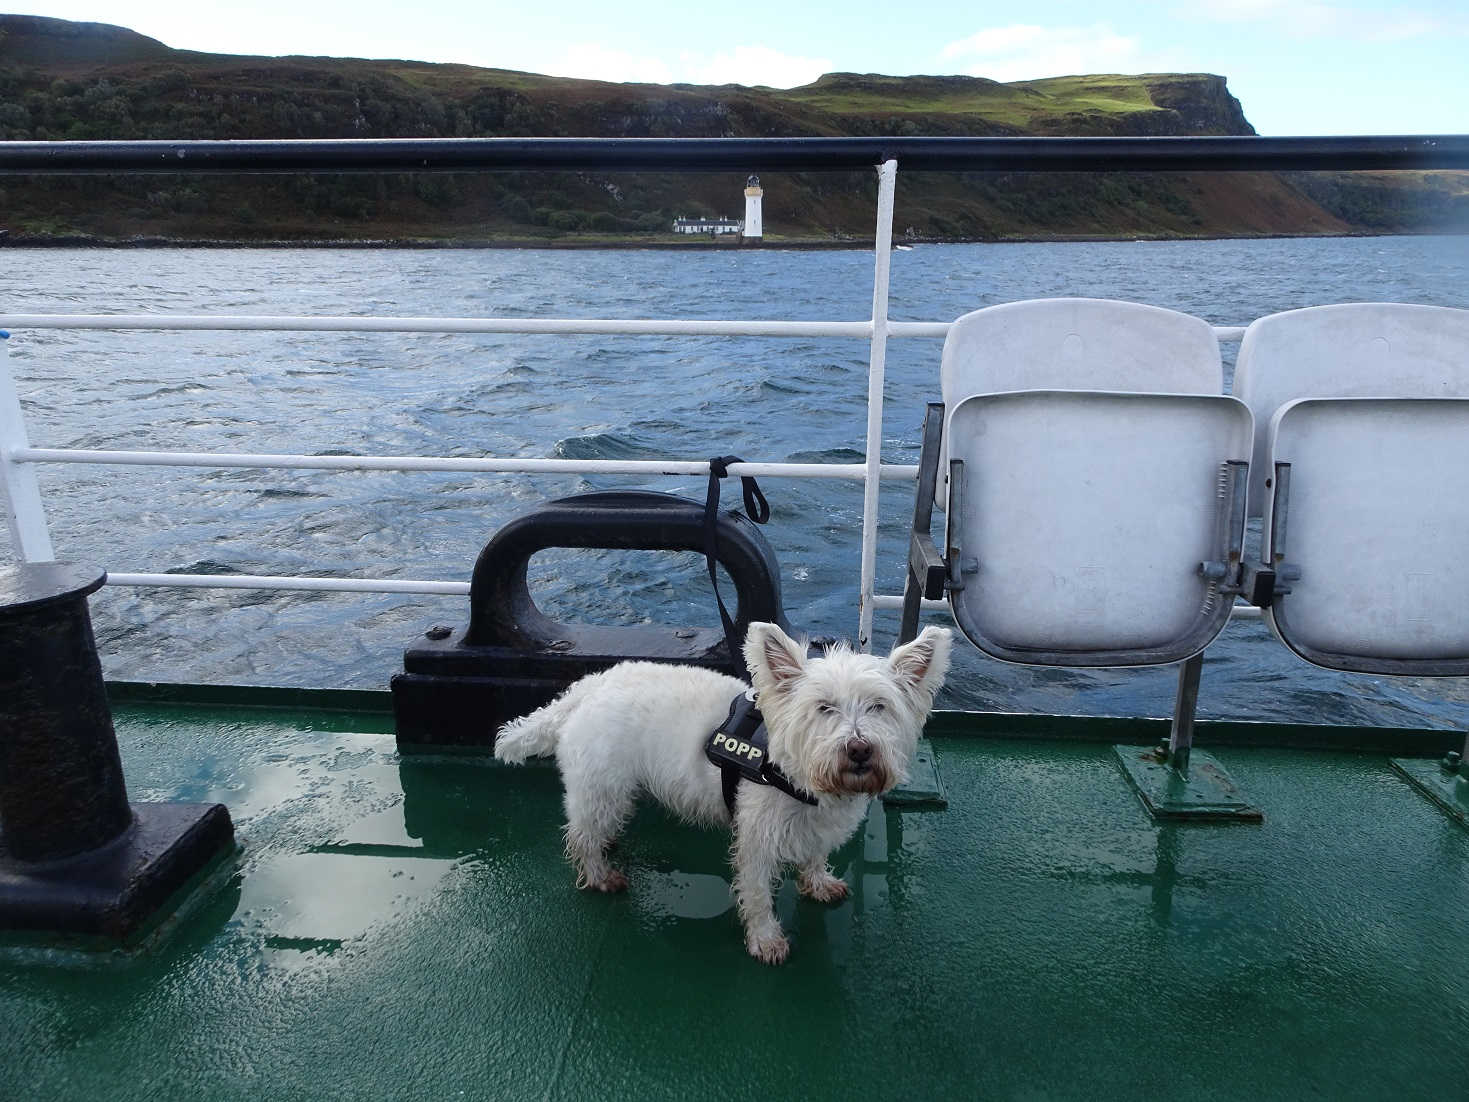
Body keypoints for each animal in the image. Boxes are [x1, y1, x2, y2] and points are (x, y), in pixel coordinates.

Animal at [493, 622, 951, 963]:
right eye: (824, 707)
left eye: (879, 706)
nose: (858, 749)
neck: (796, 773)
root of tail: (585, 690)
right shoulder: (756, 839)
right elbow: (757, 892)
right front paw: (766, 941)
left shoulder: (815, 827)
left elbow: (815, 856)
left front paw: (818, 883)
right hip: (603, 788)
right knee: (582, 836)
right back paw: (601, 876)